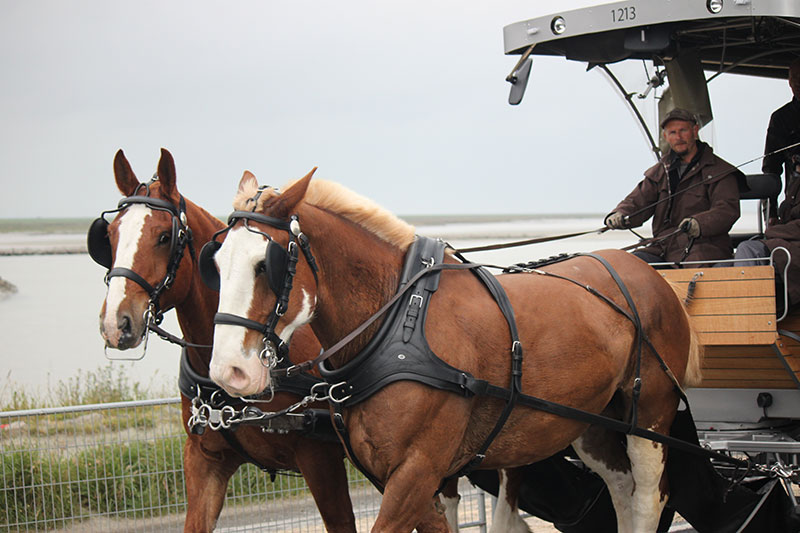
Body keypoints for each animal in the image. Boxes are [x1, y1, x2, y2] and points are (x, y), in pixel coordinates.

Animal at [206, 170, 700, 532]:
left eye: (265, 264)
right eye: (216, 263)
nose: (229, 372)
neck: (398, 324)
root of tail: (642, 269)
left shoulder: (418, 470)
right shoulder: (405, 478)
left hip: (651, 414)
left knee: (649, 496)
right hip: (590, 420)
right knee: (620, 487)